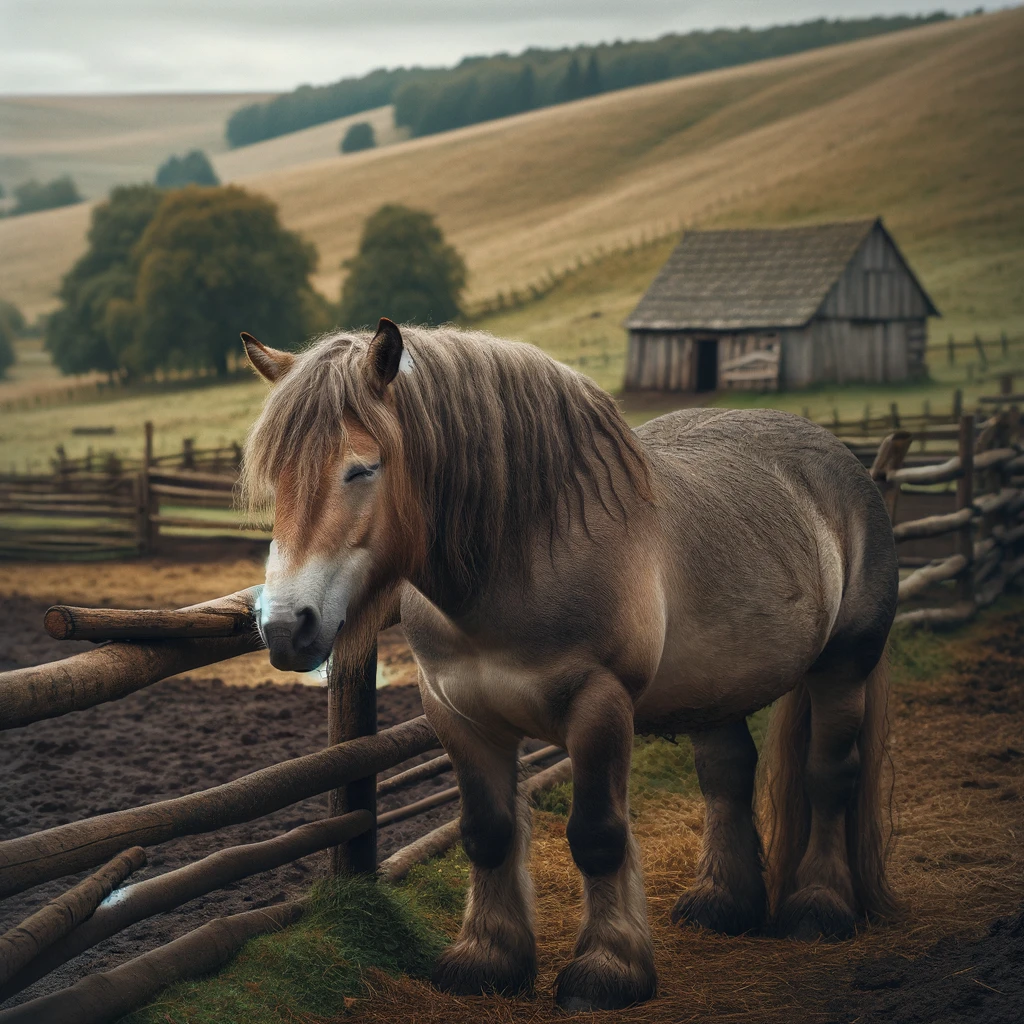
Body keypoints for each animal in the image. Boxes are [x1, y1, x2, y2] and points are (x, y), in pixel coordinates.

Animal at [239, 317, 897, 1007]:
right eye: (276, 479)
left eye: (362, 469)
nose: (284, 627)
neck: (521, 557)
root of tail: (846, 462)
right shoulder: (456, 713)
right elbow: (487, 832)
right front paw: (487, 958)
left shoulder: (598, 706)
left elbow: (598, 836)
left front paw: (608, 969)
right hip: (716, 689)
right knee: (727, 775)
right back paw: (721, 903)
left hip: (845, 666)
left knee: (829, 777)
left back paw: (818, 907)